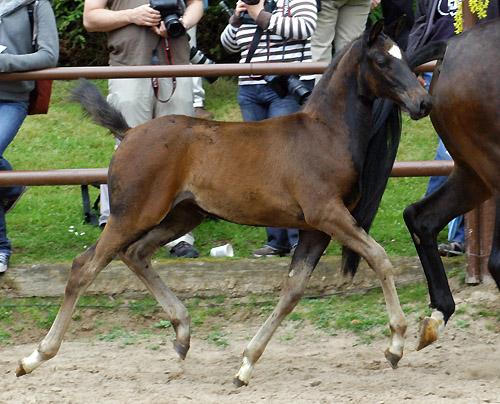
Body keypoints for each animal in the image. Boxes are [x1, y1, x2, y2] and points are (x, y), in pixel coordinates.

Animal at [15, 21, 430, 386]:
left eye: (404, 56)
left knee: (135, 254)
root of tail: (129, 133)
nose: (423, 101)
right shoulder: (328, 213)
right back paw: (34, 357)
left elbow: (293, 291)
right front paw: (396, 344)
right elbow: (378, 258)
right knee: (85, 267)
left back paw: (182, 332)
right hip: (132, 214)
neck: (325, 133)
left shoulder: (316, 229)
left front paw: (246, 364)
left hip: (182, 216)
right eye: (382, 61)